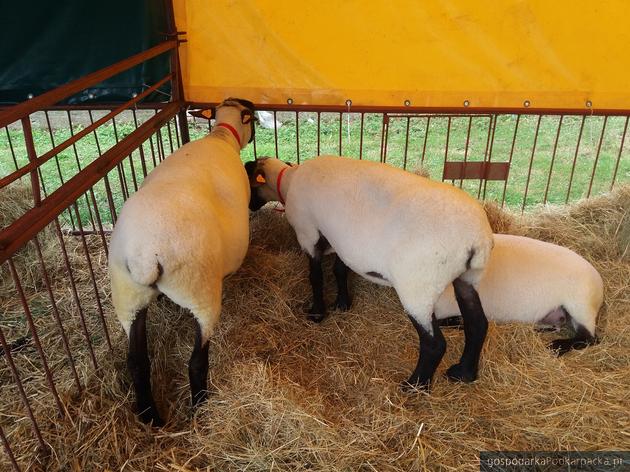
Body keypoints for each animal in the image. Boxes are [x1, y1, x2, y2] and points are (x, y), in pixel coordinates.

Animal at [110, 97, 256, 426]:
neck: (221, 136)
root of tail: (145, 253)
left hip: (127, 296)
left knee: (136, 361)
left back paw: (150, 416)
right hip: (200, 292)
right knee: (196, 361)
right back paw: (200, 408)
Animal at [244, 156, 496, 390]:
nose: (249, 209)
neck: (288, 180)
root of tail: (476, 240)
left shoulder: (308, 233)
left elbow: (315, 277)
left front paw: (316, 313)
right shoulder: (341, 242)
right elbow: (339, 270)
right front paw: (342, 303)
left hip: (418, 287)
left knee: (434, 344)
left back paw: (415, 386)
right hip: (468, 279)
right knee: (478, 325)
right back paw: (463, 373)